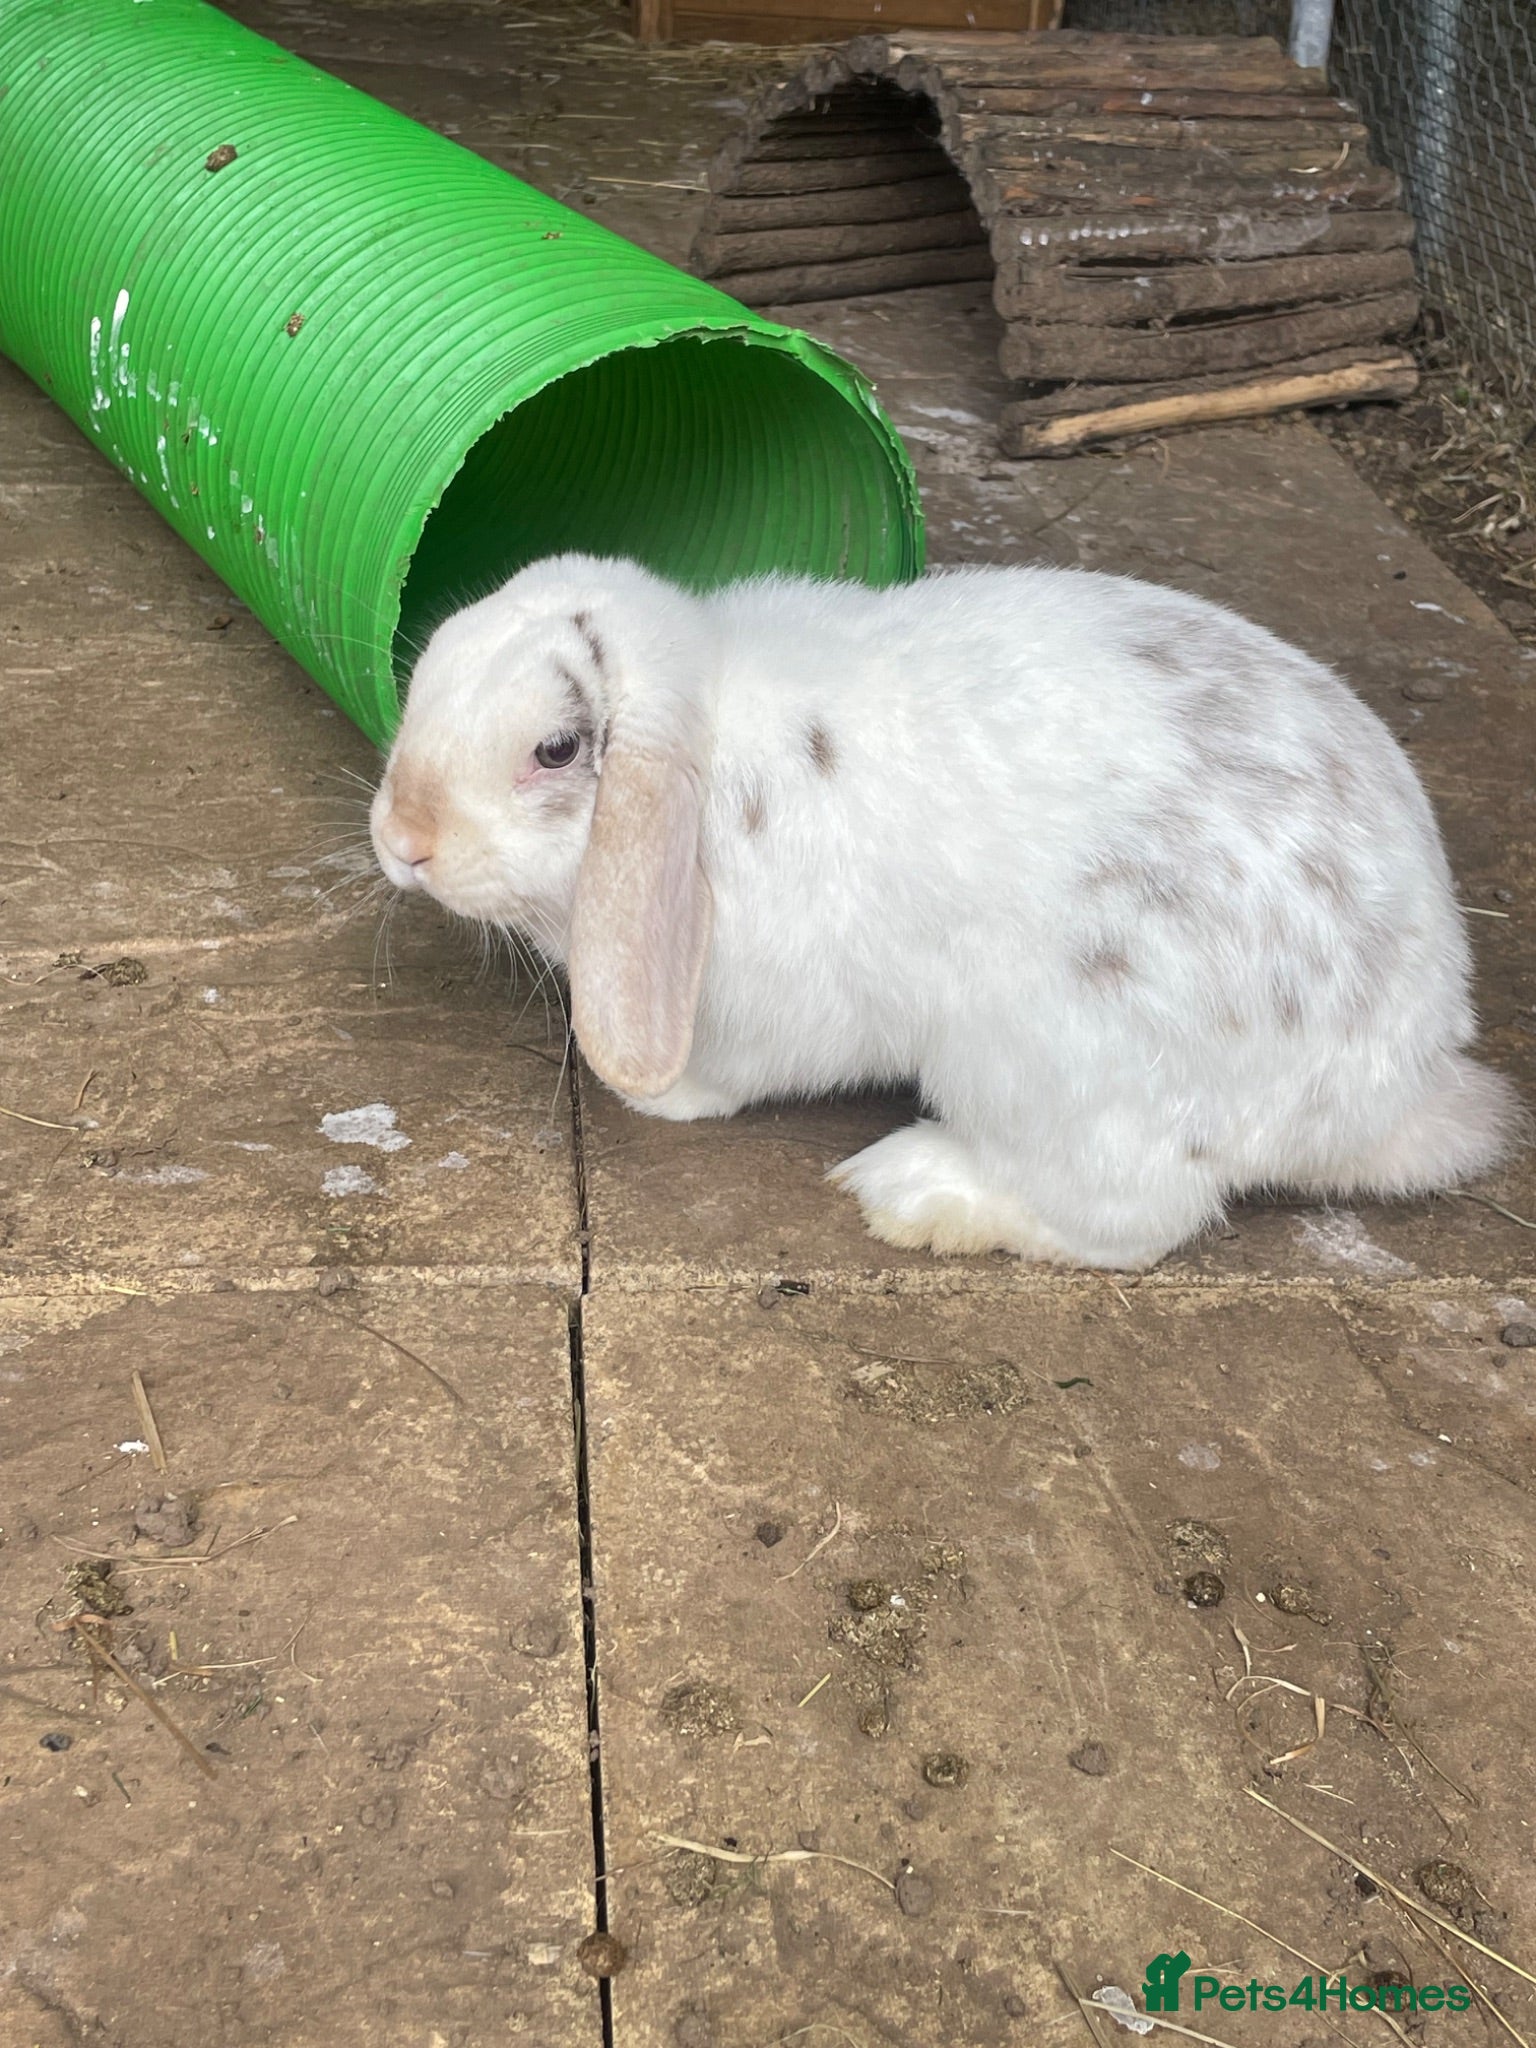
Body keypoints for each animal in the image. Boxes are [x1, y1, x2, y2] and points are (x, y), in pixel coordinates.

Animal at [369, 551, 1524, 1270]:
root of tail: (1399, 1081)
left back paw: (917, 1194)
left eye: (555, 749)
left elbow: (729, 1078)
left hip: (1051, 1067)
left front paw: (657, 1096)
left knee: (1135, 1222)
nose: (400, 840)